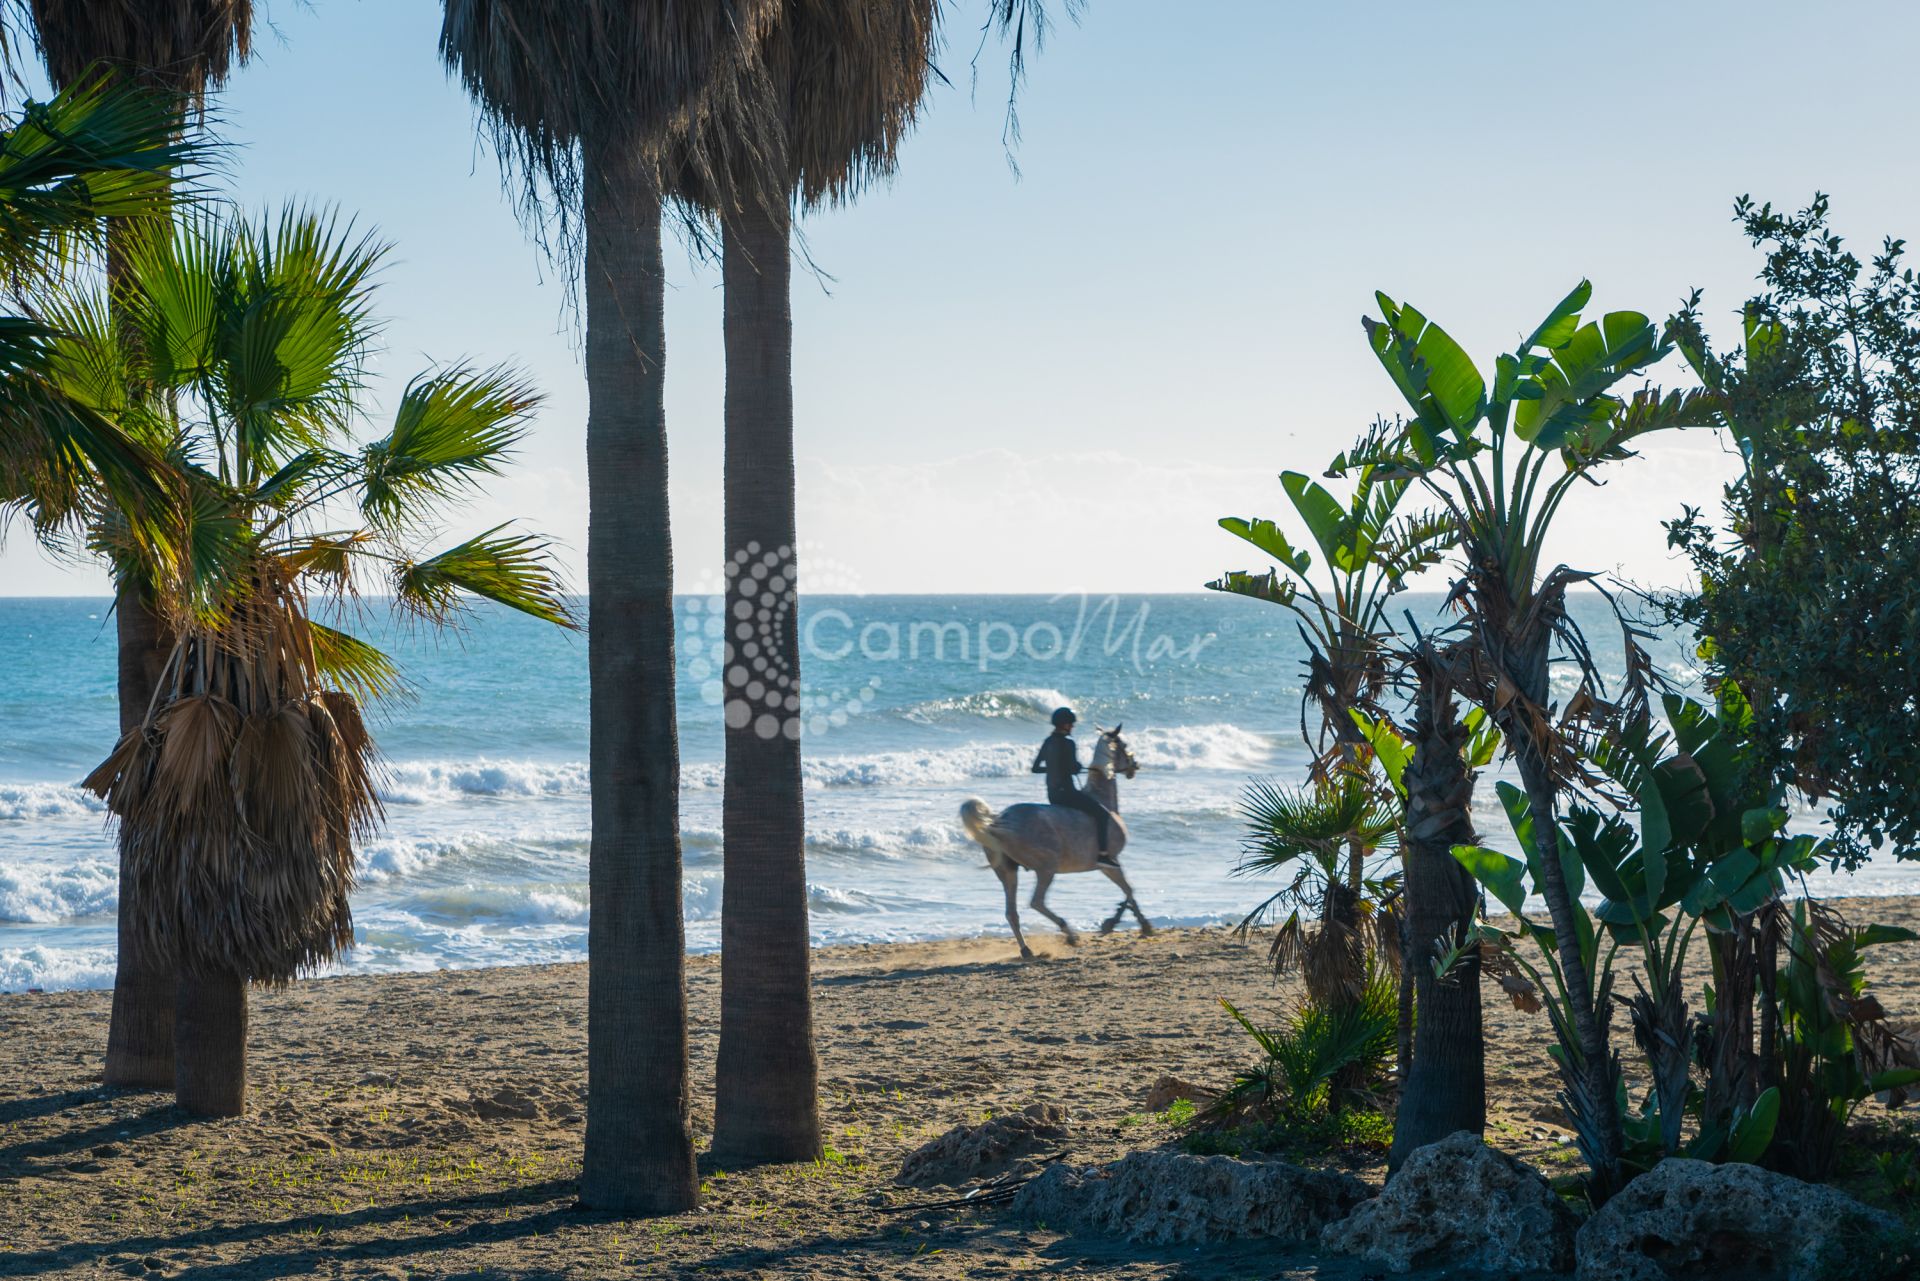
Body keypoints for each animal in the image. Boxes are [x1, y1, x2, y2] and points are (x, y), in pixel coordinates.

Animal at [952, 725, 1144, 956]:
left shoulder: (1107, 866)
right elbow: (1129, 891)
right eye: (1123, 745)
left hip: (1008, 872)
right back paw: (1069, 934)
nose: (1135, 766)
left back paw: (1027, 950)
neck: (1102, 800)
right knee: (1036, 902)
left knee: (1011, 912)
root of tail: (1000, 821)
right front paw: (1130, 924)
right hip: (1046, 868)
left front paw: (1125, 923)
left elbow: (1128, 891)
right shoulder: (1110, 863)